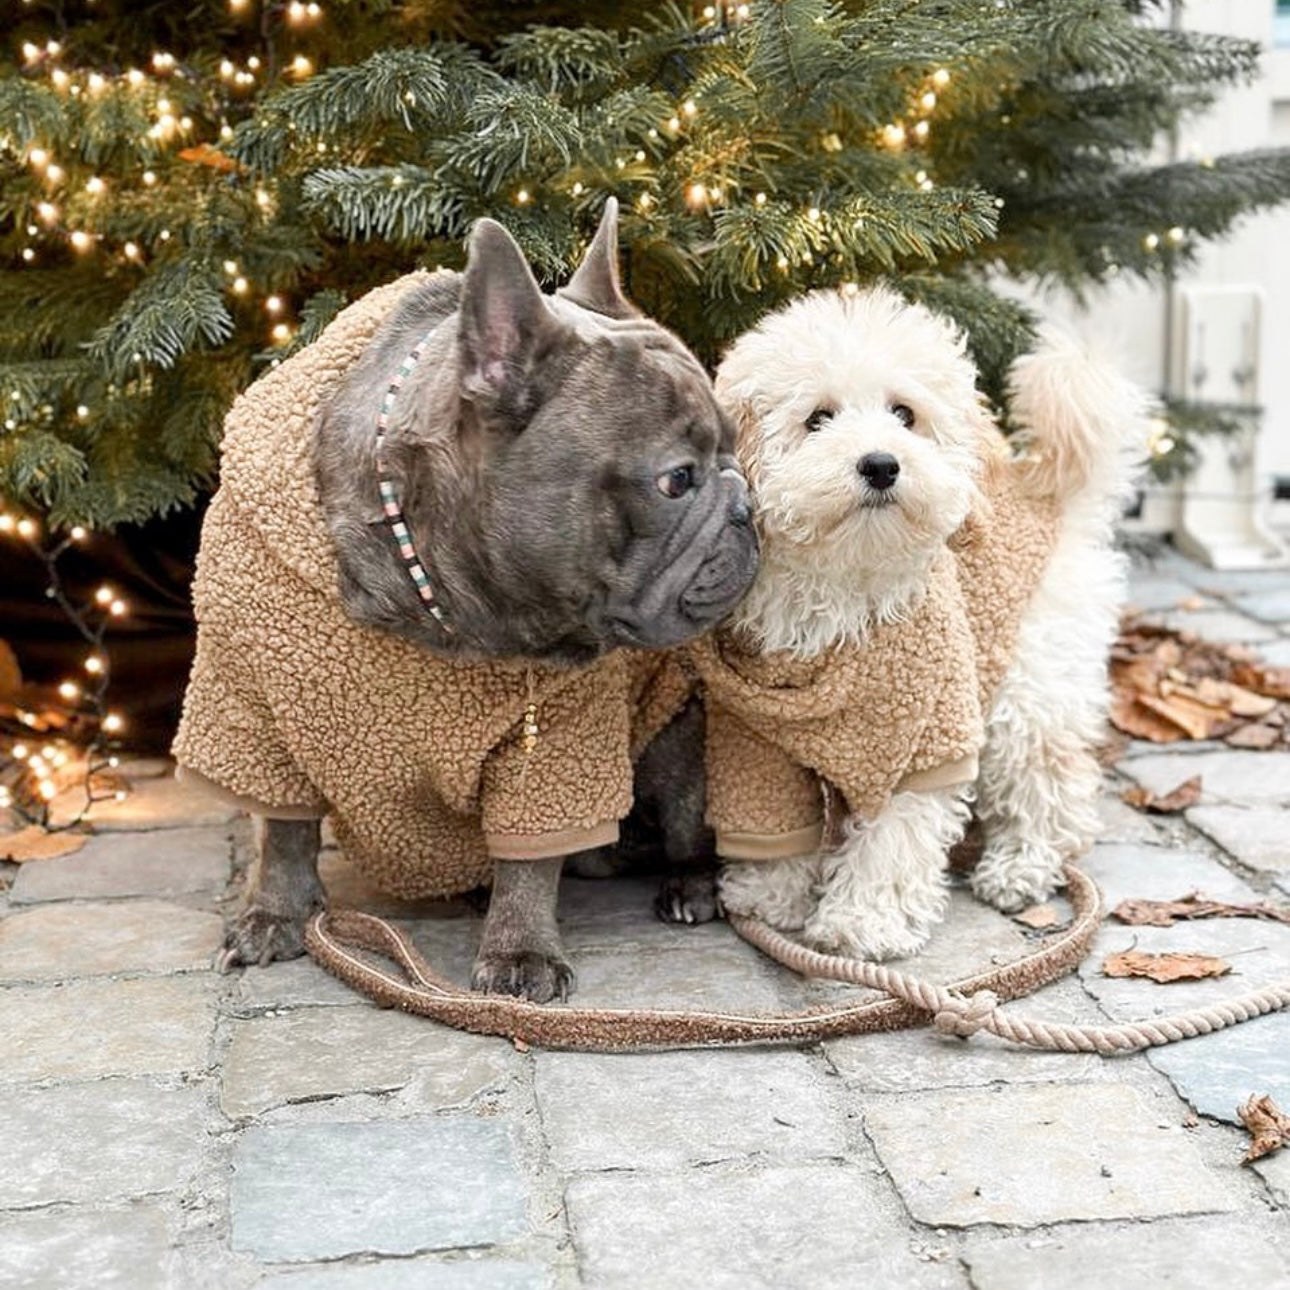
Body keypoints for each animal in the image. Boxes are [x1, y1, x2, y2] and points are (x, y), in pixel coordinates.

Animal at [712, 290, 1145, 959]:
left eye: (904, 414)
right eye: (818, 418)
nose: (881, 464)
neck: (842, 588)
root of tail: (1050, 497)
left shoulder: (928, 729)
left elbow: (894, 837)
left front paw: (864, 921)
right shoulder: (752, 739)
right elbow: (773, 821)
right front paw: (768, 896)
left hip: (1028, 683)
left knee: (1050, 779)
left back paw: (1021, 866)